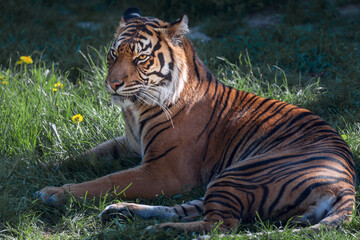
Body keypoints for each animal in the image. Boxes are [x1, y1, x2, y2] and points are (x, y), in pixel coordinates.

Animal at [36, 7, 358, 232]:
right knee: (192, 209)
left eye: (141, 59)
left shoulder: (162, 171)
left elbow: (107, 180)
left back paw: (161, 230)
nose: (112, 84)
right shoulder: (129, 143)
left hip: (239, 173)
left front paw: (54, 192)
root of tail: (346, 185)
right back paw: (122, 211)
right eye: (113, 54)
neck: (136, 109)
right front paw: (48, 167)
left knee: (221, 224)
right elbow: (85, 155)